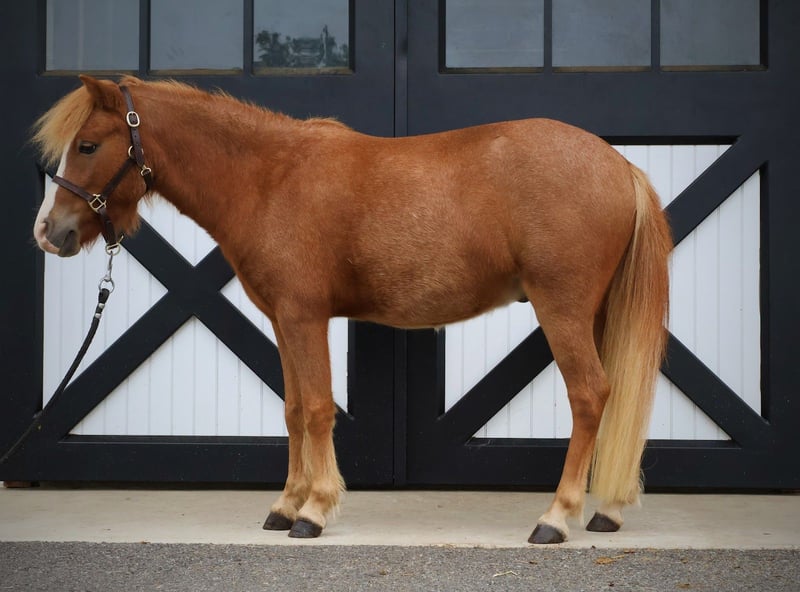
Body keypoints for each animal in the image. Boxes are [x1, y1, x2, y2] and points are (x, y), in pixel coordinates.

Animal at [31, 75, 671, 544]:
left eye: (88, 145)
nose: (48, 233)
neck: (270, 176)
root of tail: (619, 166)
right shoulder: (282, 321)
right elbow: (292, 410)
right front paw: (284, 506)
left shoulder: (304, 316)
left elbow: (317, 409)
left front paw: (314, 510)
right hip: (593, 313)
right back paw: (607, 510)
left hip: (562, 310)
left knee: (588, 395)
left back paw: (555, 518)